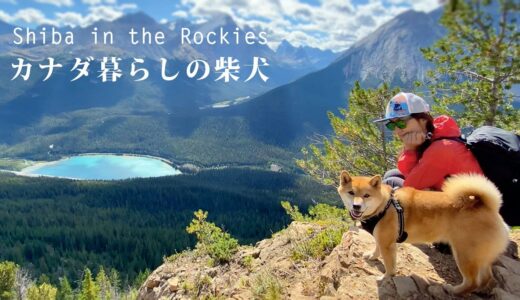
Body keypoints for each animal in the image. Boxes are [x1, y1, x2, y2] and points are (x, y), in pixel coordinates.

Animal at [338, 171, 508, 296]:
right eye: (351, 192)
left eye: (366, 195)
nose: (357, 206)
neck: (385, 205)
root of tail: (489, 207)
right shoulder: (382, 239)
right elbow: (376, 248)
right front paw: (372, 256)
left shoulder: (388, 244)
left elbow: (389, 266)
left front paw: (386, 277)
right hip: (480, 256)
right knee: (486, 278)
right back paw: (480, 290)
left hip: (464, 254)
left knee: (472, 281)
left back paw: (455, 290)